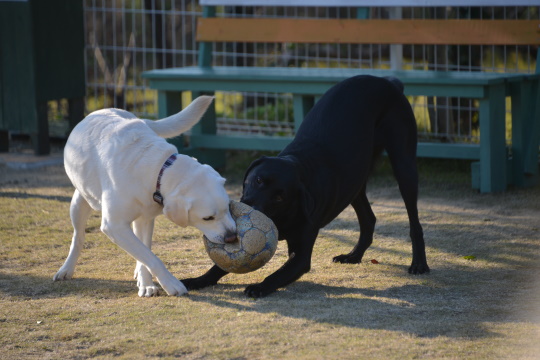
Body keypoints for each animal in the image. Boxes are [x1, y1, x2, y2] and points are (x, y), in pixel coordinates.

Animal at [53, 97, 237, 296]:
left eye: (228, 208)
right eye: (207, 218)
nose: (232, 238)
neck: (158, 168)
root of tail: (101, 110)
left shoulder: (147, 219)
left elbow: (145, 252)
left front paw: (146, 283)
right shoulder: (114, 226)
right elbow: (151, 257)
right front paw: (170, 284)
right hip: (79, 203)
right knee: (78, 237)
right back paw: (66, 269)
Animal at [184, 74, 428, 296]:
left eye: (279, 197)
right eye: (258, 179)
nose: (250, 208)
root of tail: (386, 81)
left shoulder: (301, 254)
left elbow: (279, 273)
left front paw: (259, 287)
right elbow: (221, 265)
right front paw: (197, 280)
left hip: (404, 165)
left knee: (414, 222)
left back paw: (419, 264)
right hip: (355, 181)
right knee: (369, 219)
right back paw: (353, 256)